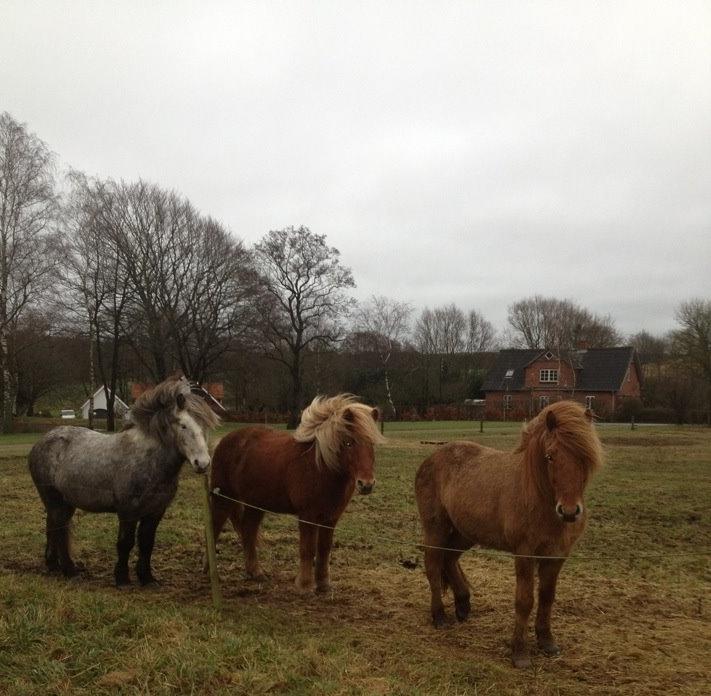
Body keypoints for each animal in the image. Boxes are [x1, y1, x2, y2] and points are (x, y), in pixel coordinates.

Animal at [28, 380, 220, 588]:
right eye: (183, 425)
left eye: (206, 427)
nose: (203, 463)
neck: (148, 460)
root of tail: (42, 442)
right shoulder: (128, 511)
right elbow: (125, 543)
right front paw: (122, 578)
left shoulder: (155, 512)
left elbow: (147, 543)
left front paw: (147, 578)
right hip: (55, 500)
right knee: (59, 529)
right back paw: (70, 570)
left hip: (64, 503)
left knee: (52, 527)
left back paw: (53, 565)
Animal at [210, 396, 384, 592]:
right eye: (348, 442)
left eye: (371, 444)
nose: (366, 484)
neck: (320, 466)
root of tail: (223, 441)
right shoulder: (308, 516)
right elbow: (307, 549)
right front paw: (305, 585)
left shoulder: (330, 518)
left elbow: (324, 549)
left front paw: (323, 584)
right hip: (222, 499)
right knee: (214, 528)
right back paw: (211, 572)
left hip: (255, 505)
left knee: (248, 531)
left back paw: (255, 572)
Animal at [414, 402, 604, 668]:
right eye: (550, 456)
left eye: (585, 457)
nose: (568, 512)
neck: (538, 496)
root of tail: (431, 458)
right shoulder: (525, 554)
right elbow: (525, 601)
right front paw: (520, 653)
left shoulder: (556, 557)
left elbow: (547, 598)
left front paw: (547, 642)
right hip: (436, 528)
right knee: (433, 564)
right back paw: (439, 616)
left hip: (466, 531)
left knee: (449, 559)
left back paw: (463, 605)